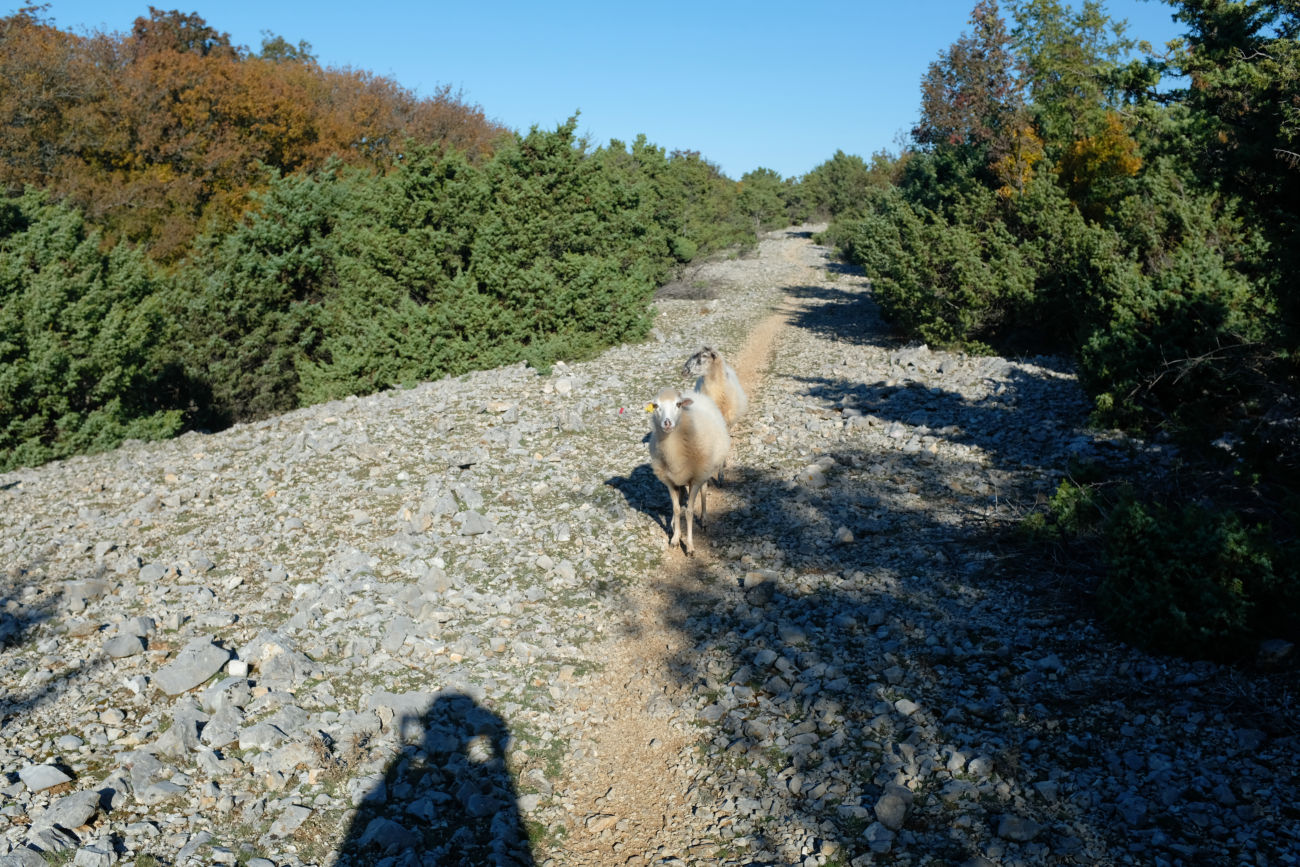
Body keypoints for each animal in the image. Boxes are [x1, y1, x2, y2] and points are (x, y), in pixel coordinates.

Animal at [646, 387, 730, 555]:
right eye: (656, 406)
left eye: (678, 404)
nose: (667, 423)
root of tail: (694, 393)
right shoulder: (670, 482)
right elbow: (677, 509)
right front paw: (675, 539)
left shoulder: (695, 479)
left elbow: (689, 512)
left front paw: (690, 546)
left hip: (705, 469)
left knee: (704, 491)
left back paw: (704, 520)